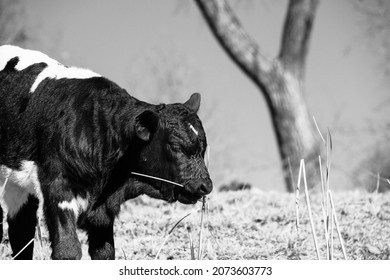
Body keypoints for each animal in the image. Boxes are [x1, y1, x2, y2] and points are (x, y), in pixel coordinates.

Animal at [0, 44, 212, 260]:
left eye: (204, 147)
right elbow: (68, 249)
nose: (205, 185)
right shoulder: (57, 187)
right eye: (175, 146)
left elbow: (105, 252)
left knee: (21, 230)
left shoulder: (103, 213)